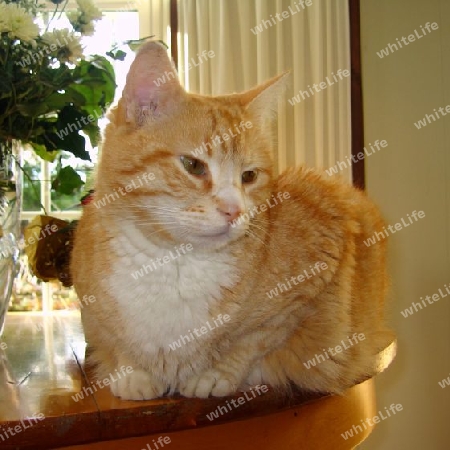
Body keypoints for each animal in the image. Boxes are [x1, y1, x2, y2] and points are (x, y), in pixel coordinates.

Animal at [71, 41, 394, 400]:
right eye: (193, 166)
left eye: (249, 176)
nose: (234, 210)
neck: (172, 263)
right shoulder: (91, 307)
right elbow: (117, 342)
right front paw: (133, 372)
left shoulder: (316, 271)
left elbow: (252, 341)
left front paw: (214, 374)